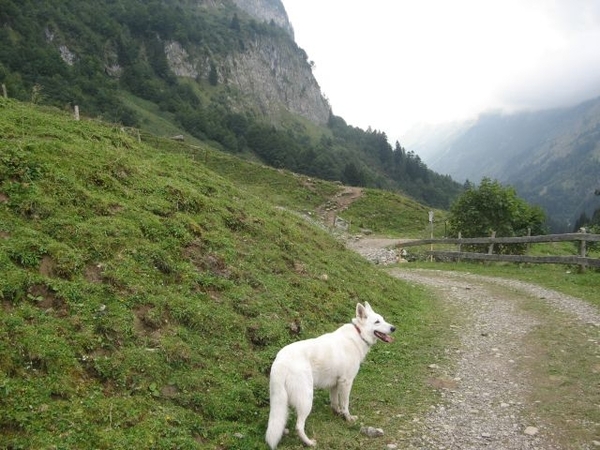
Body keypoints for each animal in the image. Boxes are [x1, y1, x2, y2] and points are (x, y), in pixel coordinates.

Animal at [266, 302, 396, 446]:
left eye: (383, 319)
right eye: (377, 322)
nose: (393, 328)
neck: (359, 334)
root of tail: (280, 361)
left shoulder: (334, 384)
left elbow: (334, 402)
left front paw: (337, 413)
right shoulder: (346, 382)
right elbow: (345, 404)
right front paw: (348, 418)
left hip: (282, 400)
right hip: (307, 399)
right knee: (299, 426)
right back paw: (309, 443)